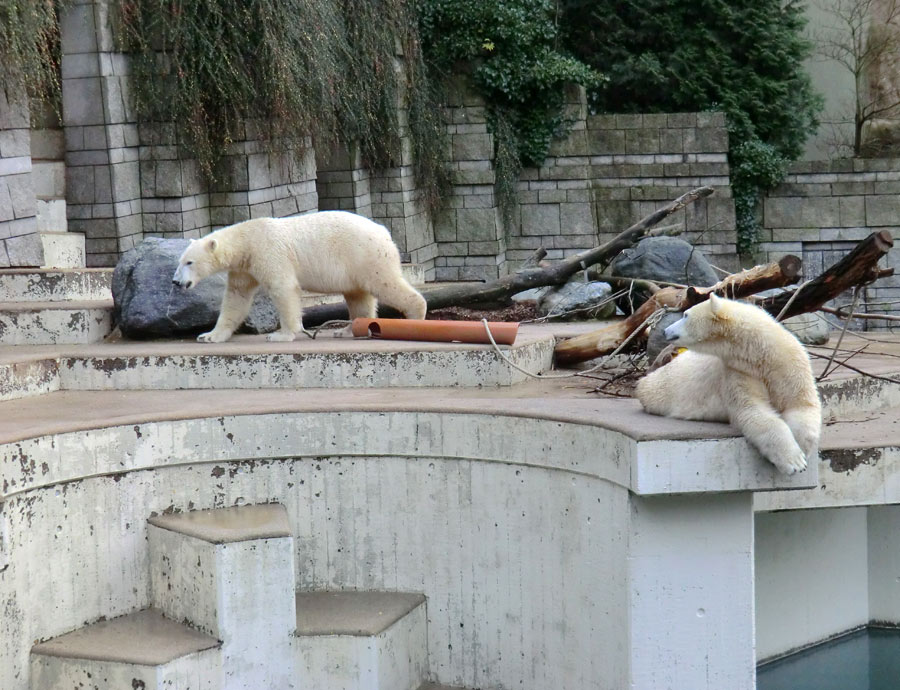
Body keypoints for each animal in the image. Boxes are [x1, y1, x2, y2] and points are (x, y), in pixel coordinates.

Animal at [178, 208, 430, 340]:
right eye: (180, 261)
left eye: (190, 262)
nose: (176, 281)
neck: (247, 240)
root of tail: (384, 232)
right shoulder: (243, 268)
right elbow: (236, 298)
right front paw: (208, 336)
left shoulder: (268, 252)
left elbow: (283, 288)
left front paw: (281, 334)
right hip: (355, 265)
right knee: (358, 297)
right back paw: (346, 329)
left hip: (366, 255)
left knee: (384, 284)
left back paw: (415, 316)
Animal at [632, 292, 824, 476]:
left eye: (686, 315)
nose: (665, 331)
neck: (762, 354)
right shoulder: (739, 371)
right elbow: (753, 411)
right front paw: (794, 461)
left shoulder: (789, 364)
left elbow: (801, 404)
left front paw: (801, 450)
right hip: (665, 385)